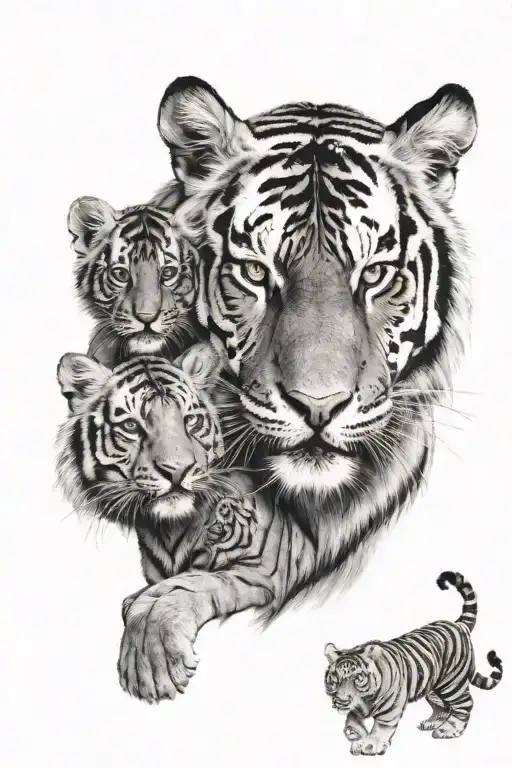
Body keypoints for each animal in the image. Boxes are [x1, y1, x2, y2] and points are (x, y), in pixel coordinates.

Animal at [324, 571, 503, 756]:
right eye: (335, 679)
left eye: (357, 678)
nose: (342, 701)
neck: (365, 700)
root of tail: (458, 624)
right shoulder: (355, 707)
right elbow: (351, 719)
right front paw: (354, 734)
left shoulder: (391, 706)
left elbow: (382, 725)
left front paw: (370, 744)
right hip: (434, 685)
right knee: (443, 705)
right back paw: (431, 723)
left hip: (452, 683)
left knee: (465, 704)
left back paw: (447, 730)